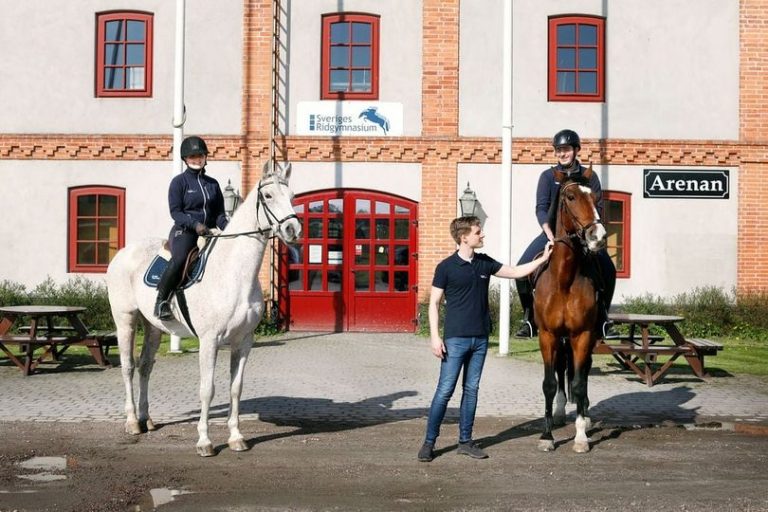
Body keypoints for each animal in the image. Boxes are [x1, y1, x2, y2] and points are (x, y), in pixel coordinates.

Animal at [106, 163, 302, 456]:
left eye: (291, 195)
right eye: (267, 196)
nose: (292, 229)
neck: (234, 273)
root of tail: (122, 254)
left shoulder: (244, 341)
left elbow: (236, 388)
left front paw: (236, 437)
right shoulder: (209, 341)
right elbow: (207, 389)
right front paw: (205, 441)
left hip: (153, 327)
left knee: (145, 367)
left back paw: (146, 419)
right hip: (125, 320)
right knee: (128, 367)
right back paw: (131, 422)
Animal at [536, 167, 608, 452]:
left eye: (595, 197)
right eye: (570, 197)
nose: (598, 237)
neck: (564, 278)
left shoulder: (583, 335)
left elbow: (578, 383)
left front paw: (580, 437)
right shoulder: (547, 335)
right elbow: (549, 383)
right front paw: (546, 437)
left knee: (583, 372)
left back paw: (585, 417)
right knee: (561, 369)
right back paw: (558, 412)